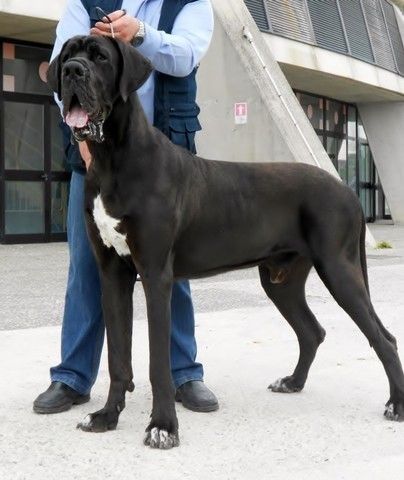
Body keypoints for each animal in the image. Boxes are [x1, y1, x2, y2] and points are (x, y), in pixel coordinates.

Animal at [47, 35, 404, 449]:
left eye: (100, 57)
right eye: (68, 54)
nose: (72, 70)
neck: (111, 159)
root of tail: (347, 190)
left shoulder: (155, 275)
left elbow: (158, 363)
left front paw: (163, 426)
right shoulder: (112, 274)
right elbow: (118, 356)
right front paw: (106, 416)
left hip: (338, 269)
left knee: (384, 338)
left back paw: (396, 404)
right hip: (281, 280)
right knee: (312, 330)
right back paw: (293, 382)